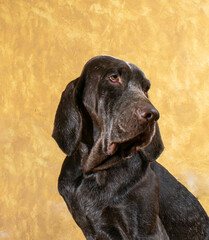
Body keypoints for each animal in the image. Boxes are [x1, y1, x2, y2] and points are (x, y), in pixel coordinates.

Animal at [52, 55, 209, 239]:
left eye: (145, 88)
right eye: (114, 77)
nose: (153, 115)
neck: (94, 172)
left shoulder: (147, 230)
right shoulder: (91, 228)